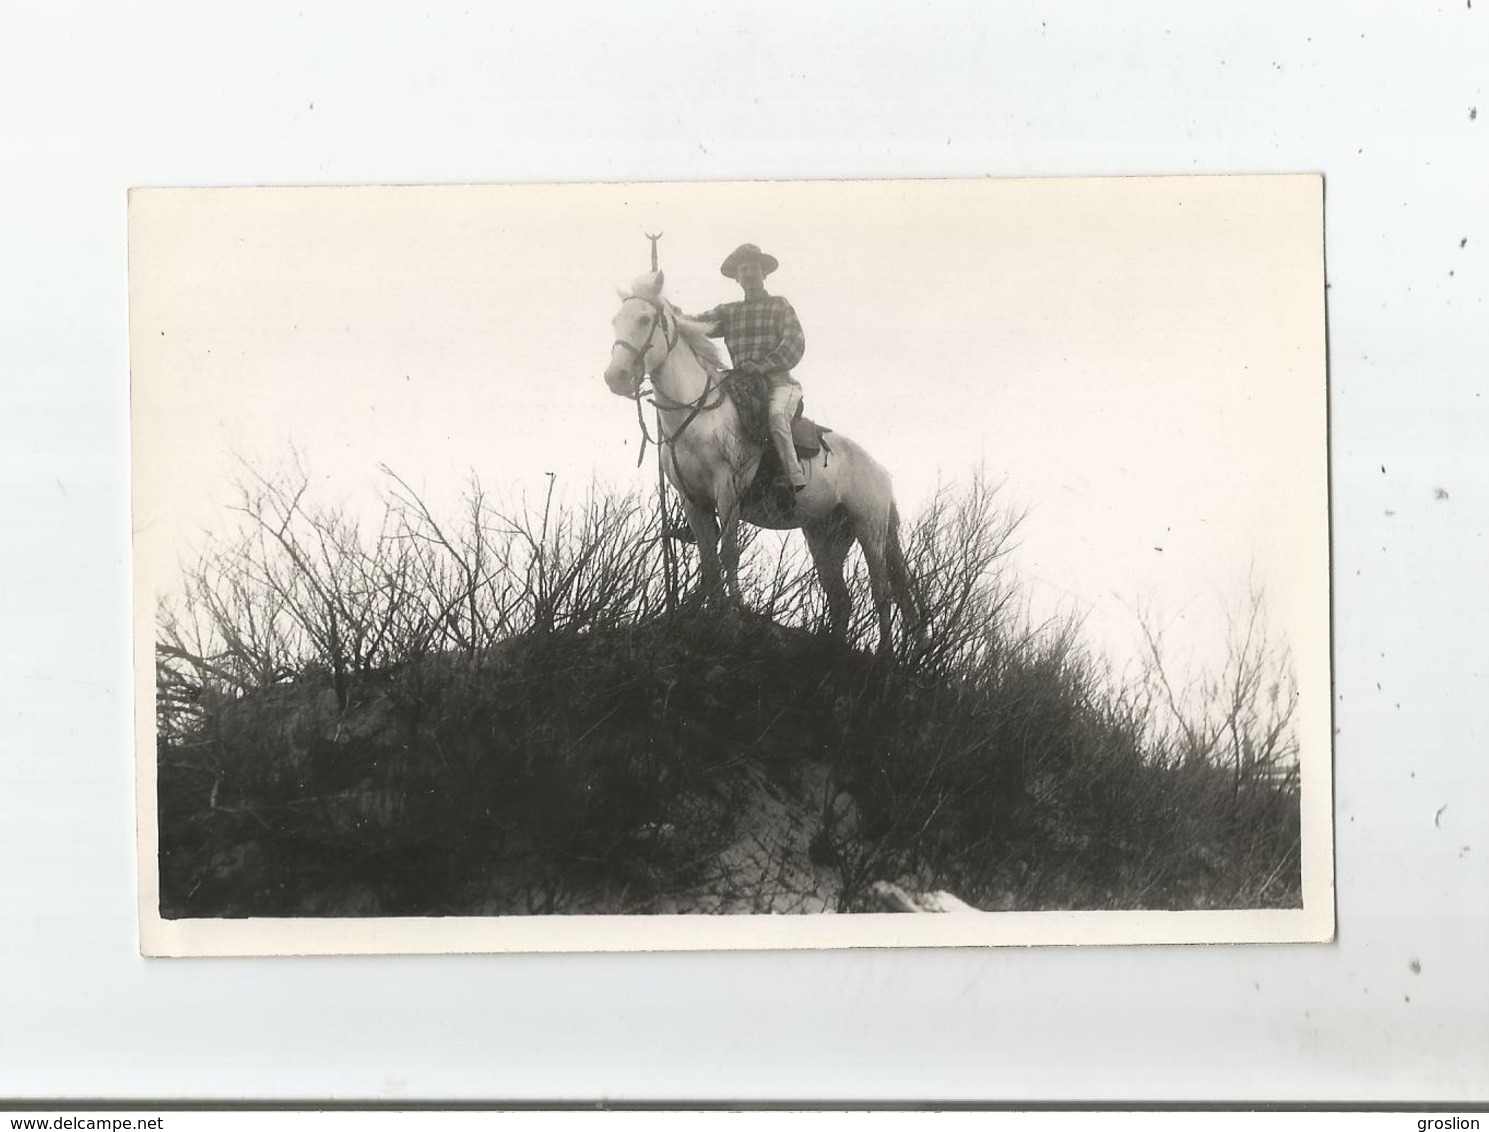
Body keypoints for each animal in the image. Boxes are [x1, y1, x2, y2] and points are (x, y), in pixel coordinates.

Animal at [601, 271, 905, 655]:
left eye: (644, 319)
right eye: (615, 321)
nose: (615, 377)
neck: (697, 415)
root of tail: (882, 473)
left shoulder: (727, 491)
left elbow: (729, 552)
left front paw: (731, 612)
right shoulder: (693, 501)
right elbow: (708, 559)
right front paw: (710, 609)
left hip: (871, 530)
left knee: (882, 593)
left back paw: (885, 656)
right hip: (826, 536)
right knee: (840, 599)